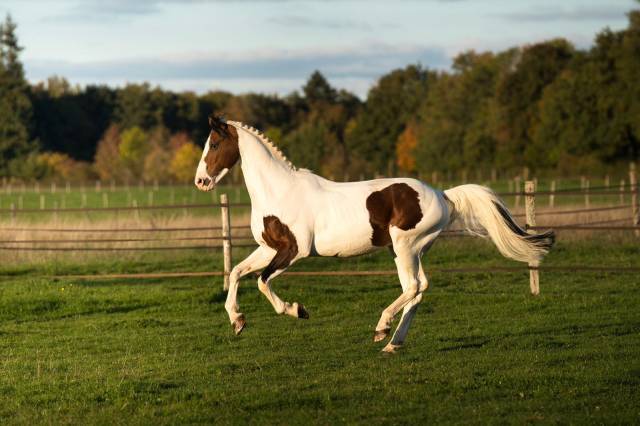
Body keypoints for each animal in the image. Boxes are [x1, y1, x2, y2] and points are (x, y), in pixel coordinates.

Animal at [194, 115, 555, 353]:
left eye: (214, 143)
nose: (200, 182)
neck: (280, 191)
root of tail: (442, 194)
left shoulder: (294, 251)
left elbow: (261, 281)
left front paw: (297, 311)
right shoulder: (269, 249)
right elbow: (238, 273)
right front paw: (237, 321)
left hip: (405, 246)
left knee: (414, 288)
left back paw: (382, 329)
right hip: (410, 250)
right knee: (418, 290)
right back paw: (392, 344)